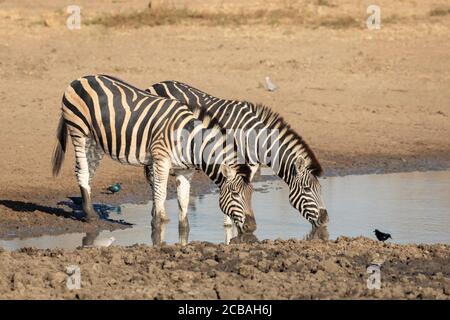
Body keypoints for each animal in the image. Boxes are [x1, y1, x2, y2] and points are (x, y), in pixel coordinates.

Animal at [50, 75, 255, 235]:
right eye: (235, 193)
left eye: (251, 193)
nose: (252, 227)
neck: (189, 141)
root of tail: (81, 78)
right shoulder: (161, 159)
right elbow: (160, 192)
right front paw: (157, 224)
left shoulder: (185, 170)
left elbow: (183, 200)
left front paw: (184, 232)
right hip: (79, 131)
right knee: (82, 171)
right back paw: (90, 216)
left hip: (95, 140)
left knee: (89, 173)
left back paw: (89, 210)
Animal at [148, 81, 326, 229]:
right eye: (307, 189)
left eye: (320, 188)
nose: (325, 220)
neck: (253, 138)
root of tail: (157, 84)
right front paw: (231, 224)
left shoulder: (250, 167)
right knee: (153, 181)